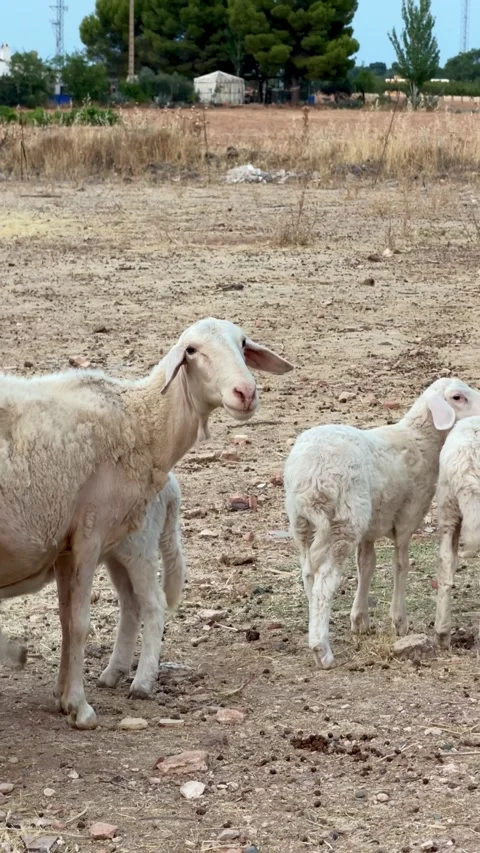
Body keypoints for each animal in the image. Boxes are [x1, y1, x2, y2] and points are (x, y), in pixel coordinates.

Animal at [0, 317, 293, 728]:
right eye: (192, 350)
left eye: (243, 343)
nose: (246, 392)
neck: (139, 419)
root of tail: (171, 491)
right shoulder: (88, 532)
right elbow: (78, 622)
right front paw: (79, 706)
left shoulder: (69, 541)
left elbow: (67, 620)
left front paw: (66, 698)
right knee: (144, 603)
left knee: (141, 602)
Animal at [284, 378, 480, 670]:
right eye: (457, 397)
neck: (419, 439)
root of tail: (309, 478)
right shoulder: (407, 517)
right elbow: (401, 564)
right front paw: (399, 621)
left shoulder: (369, 528)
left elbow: (366, 565)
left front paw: (359, 620)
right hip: (344, 521)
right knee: (324, 583)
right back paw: (322, 651)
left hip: (302, 523)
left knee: (309, 575)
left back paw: (316, 627)